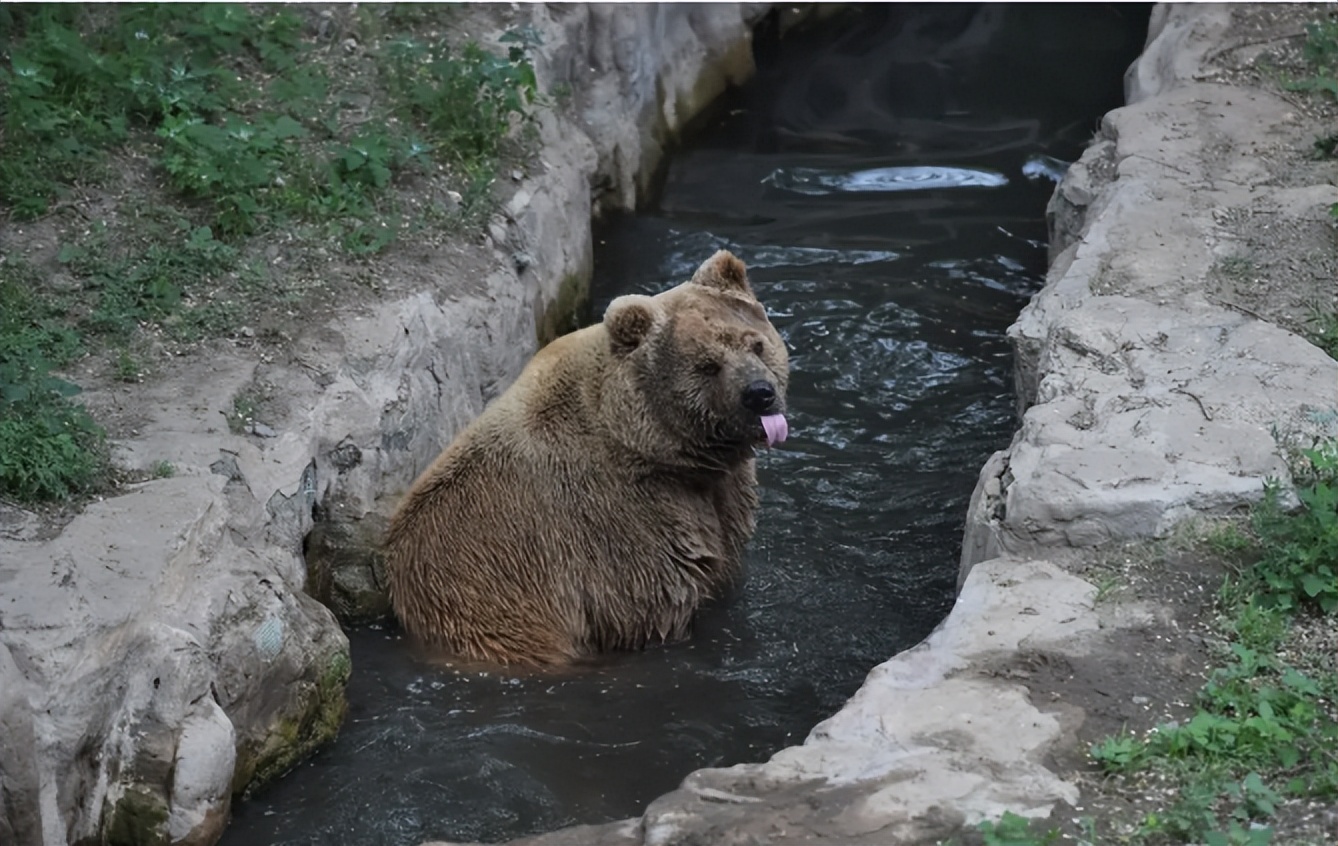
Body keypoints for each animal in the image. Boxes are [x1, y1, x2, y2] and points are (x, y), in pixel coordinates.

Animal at [382, 251, 786, 666]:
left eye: (755, 344)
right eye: (707, 365)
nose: (759, 393)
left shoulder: (721, 494)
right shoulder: (619, 523)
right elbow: (652, 604)